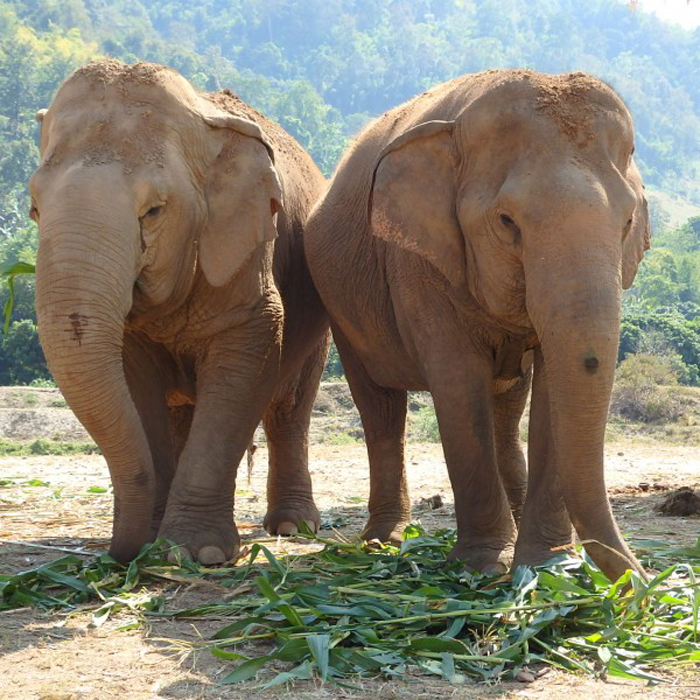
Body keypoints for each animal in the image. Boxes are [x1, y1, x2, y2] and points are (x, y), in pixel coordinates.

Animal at [30, 60, 329, 564]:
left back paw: (294, 527)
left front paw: (198, 553)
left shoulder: (247, 247)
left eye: (153, 211)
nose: (120, 555)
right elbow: (134, 383)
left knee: (290, 405)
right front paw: (157, 542)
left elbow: (243, 362)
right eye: (33, 209)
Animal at [304, 70, 650, 582]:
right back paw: (384, 541)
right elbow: (457, 382)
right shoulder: (418, 261)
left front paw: (552, 567)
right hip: (340, 302)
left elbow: (551, 387)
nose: (643, 584)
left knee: (507, 409)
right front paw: (485, 565)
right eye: (506, 221)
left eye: (627, 221)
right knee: (381, 408)